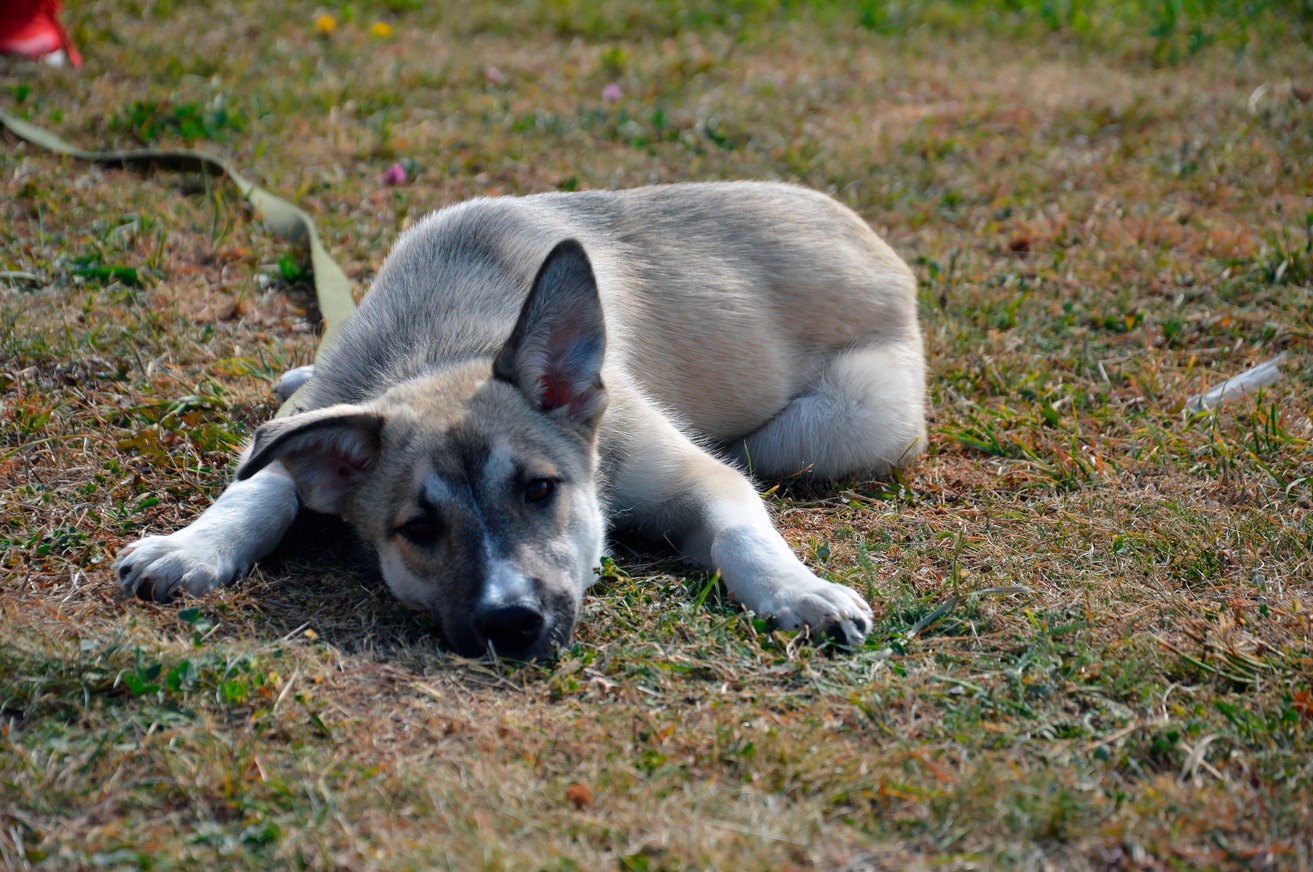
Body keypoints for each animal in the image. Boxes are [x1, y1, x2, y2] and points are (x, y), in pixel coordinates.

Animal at [118, 183, 929, 656]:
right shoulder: (329, 409)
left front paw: (800, 592)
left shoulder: (694, 473)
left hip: (840, 426)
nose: (511, 624)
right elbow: (258, 483)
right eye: (419, 530)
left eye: (540, 490)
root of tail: (868, 235)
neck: (443, 348)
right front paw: (190, 546)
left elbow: (741, 531)